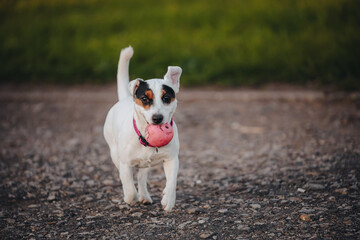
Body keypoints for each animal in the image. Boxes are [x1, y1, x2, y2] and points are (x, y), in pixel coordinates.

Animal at [104, 46, 183, 212]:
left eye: (166, 98)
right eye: (145, 99)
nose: (157, 118)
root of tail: (125, 98)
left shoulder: (172, 159)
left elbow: (172, 181)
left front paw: (168, 199)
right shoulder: (125, 164)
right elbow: (128, 186)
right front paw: (131, 198)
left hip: (146, 163)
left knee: (141, 177)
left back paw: (145, 196)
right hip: (114, 153)